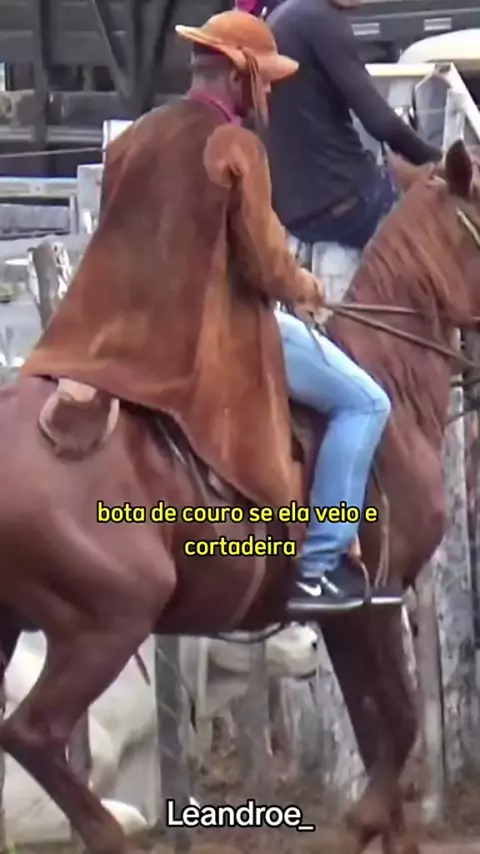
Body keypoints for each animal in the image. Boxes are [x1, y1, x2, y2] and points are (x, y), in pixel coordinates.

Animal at [0, 139, 478, 854]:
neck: (393, 389)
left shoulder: (349, 614)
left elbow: (380, 739)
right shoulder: (377, 600)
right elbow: (397, 730)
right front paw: (358, 823)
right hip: (105, 623)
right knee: (34, 732)